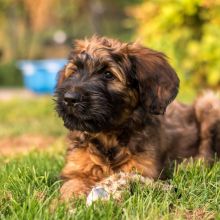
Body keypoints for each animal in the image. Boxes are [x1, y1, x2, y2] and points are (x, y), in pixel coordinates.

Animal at [54, 35, 220, 199]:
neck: (108, 138)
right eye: (74, 71)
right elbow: (71, 187)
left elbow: (126, 178)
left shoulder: (143, 169)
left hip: (208, 103)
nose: (70, 99)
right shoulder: (76, 170)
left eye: (108, 74)